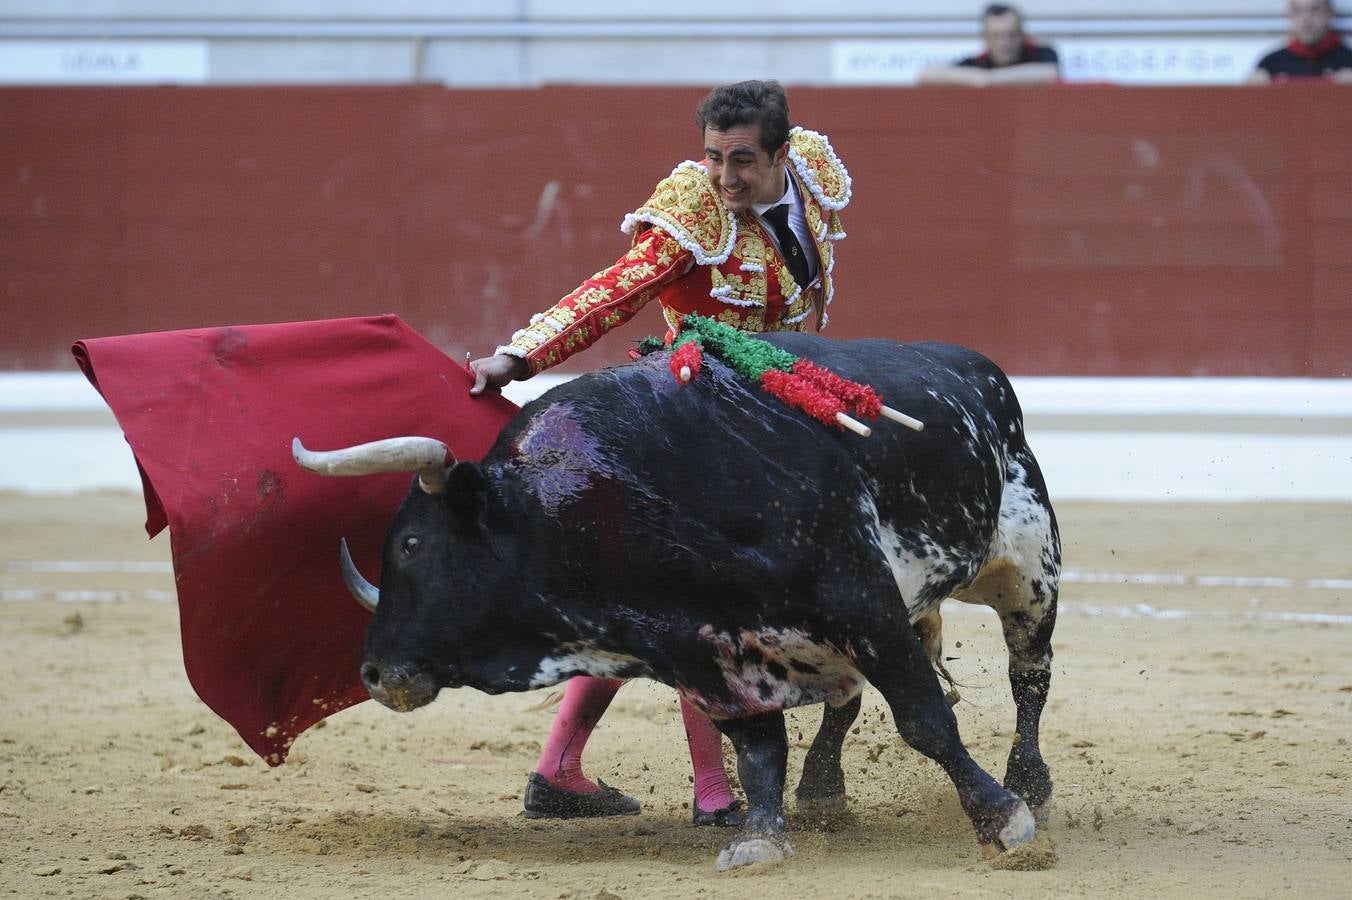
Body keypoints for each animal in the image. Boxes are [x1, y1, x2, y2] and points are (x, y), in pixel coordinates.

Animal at [293, 332, 1054, 864]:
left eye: (411, 545)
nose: (374, 673)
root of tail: (976, 366)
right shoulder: (706, 653)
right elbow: (758, 746)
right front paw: (761, 837)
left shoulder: (861, 601)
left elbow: (925, 719)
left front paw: (1002, 820)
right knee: (845, 701)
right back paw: (822, 792)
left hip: (1028, 569)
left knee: (1029, 678)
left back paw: (1032, 782)